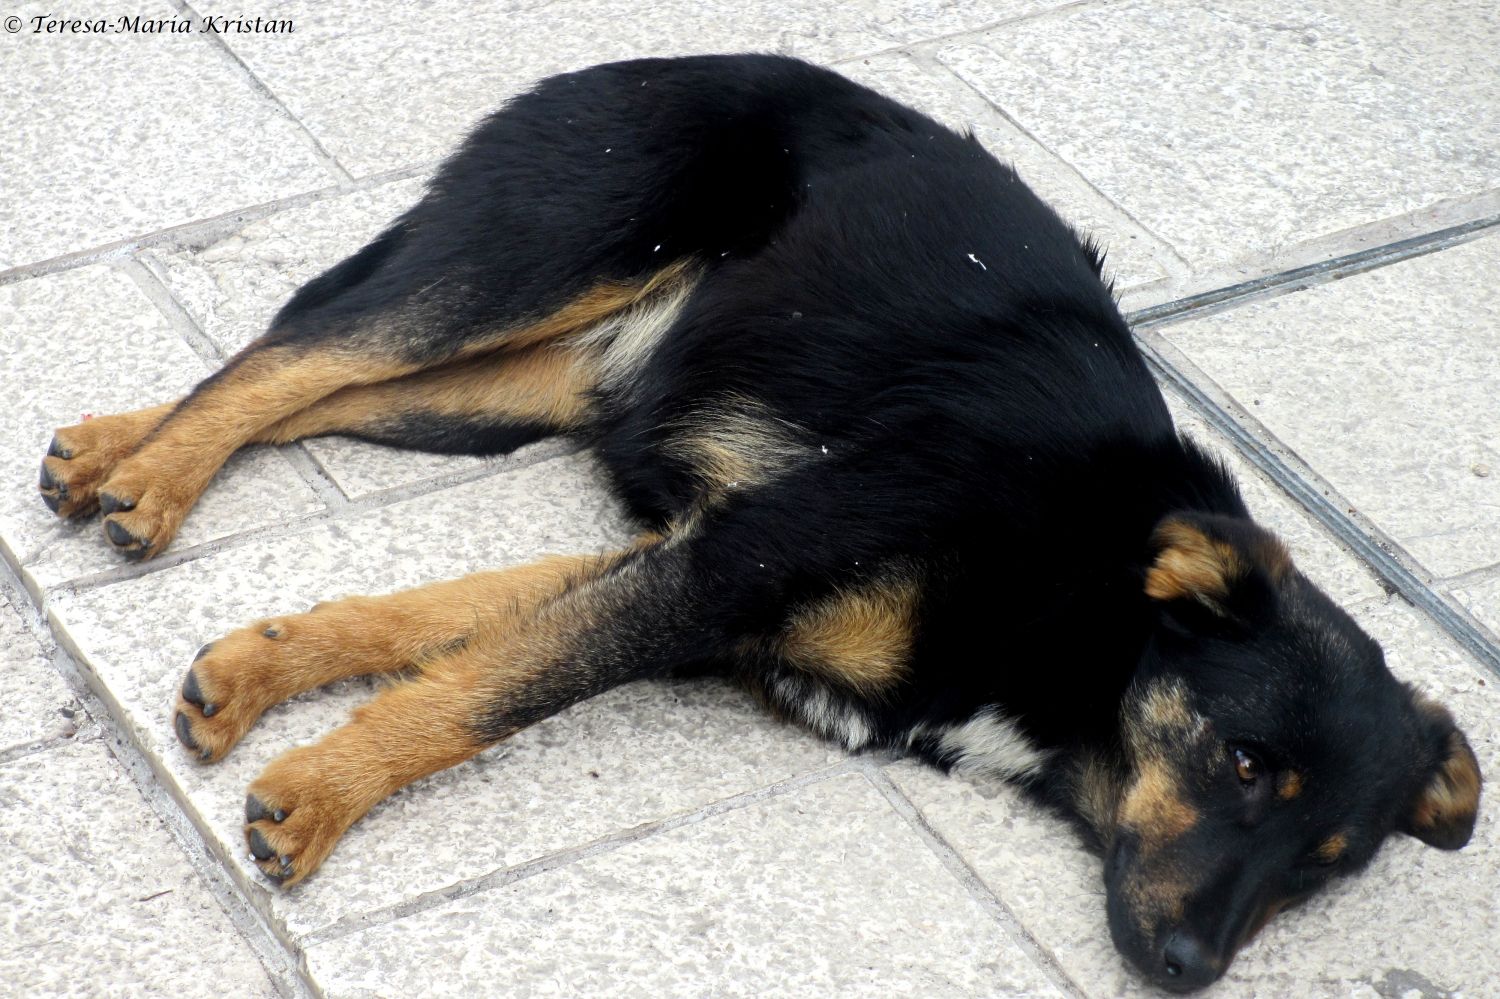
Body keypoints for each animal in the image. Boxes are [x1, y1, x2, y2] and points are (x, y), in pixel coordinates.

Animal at [35, 54, 1476, 990]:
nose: (1188, 968)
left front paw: (261, 672)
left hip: (512, 389)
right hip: (536, 262)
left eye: (1329, 863)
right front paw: (324, 795)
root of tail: (663, 54)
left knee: (315, 382)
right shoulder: (731, 562)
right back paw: (154, 481)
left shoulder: (707, 559)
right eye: (1245, 761)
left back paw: (111, 454)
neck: (1085, 600)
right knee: (291, 351)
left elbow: (450, 629)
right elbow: (504, 685)